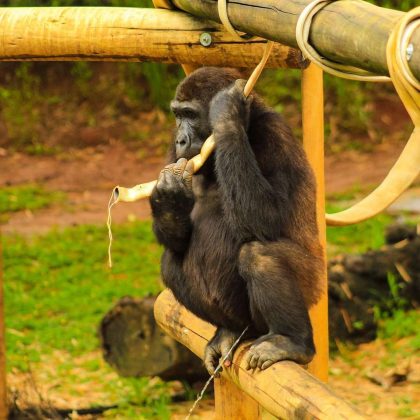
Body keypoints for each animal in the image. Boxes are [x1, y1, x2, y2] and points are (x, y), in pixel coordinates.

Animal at [149, 66, 324, 374]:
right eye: (177, 115)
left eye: (191, 114)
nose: (181, 139)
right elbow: (177, 238)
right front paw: (169, 198)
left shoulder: (275, 135)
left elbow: (266, 218)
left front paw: (227, 113)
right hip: (242, 322)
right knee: (170, 261)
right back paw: (228, 331)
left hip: (313, 288)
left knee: (259, 255)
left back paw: (292, 341)